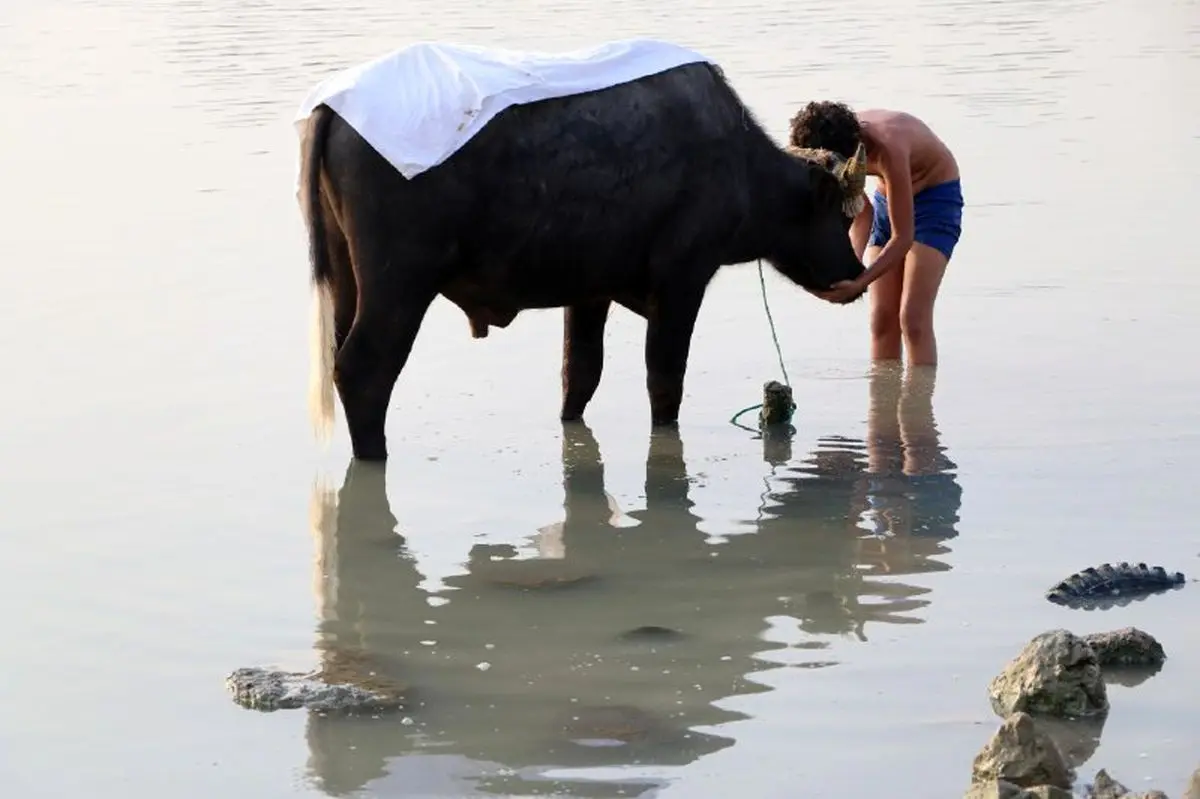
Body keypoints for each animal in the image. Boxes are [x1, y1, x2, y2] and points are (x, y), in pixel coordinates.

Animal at [297, 59, 864, 460]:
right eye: (838, 215)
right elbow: (665, 380)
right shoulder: (683, 281)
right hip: (400, 284)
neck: (740, 164)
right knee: (364, 370)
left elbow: (580, 373)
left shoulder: (591, 291)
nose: (855, 273)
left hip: (347, 281)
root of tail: (332, 108)